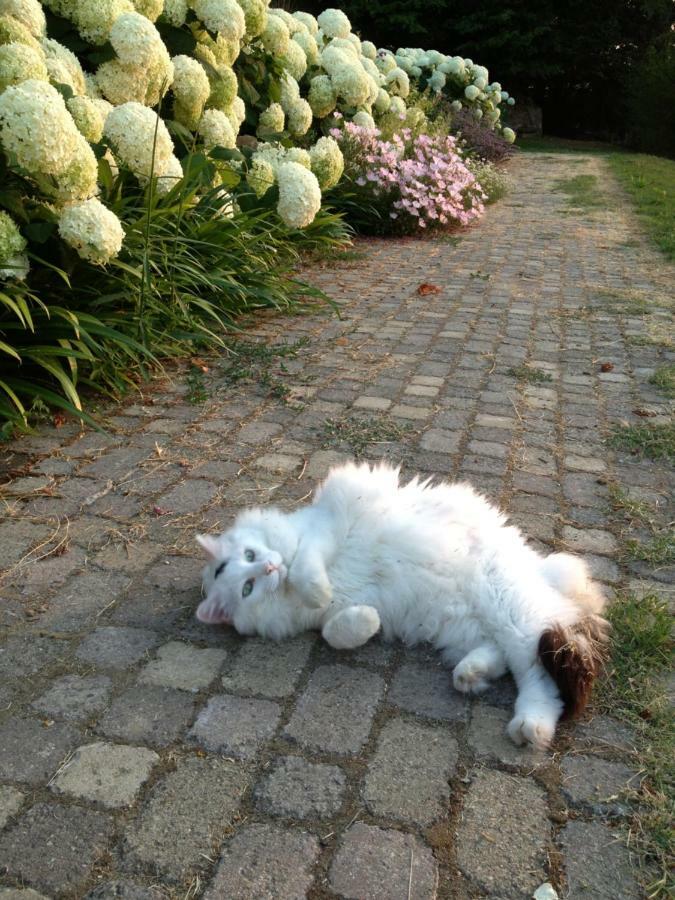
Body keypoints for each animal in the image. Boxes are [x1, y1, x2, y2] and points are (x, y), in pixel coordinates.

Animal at [197, 460, 612, 748]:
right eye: (248, 588)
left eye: (250, 556)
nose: (270, 567)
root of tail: (538, 567)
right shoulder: (329, 613)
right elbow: (335, 631)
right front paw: (366, 622)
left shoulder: (326, 527)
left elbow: (306, 567)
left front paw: (316, 588)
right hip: (462, 625)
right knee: (502, 657)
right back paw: (471, 674)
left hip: (509, 609)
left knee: (542, 676)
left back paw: (530, 725)